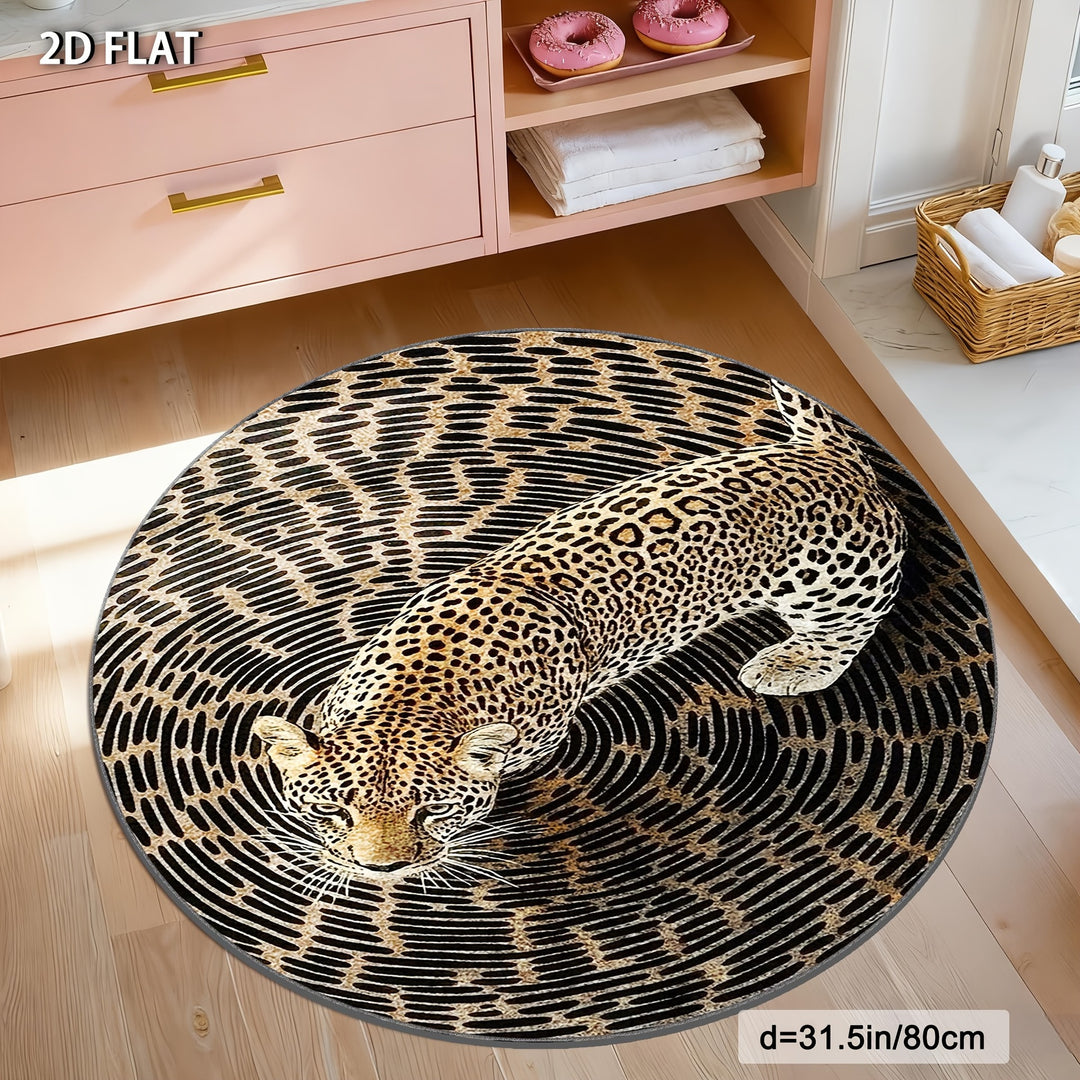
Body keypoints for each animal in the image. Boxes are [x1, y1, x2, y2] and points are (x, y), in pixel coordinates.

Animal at [254, 380, 907, 882]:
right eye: (335, 811)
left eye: (432, 812)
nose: (381, 871)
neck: (419, 690)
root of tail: (827, 454)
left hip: (837, 582)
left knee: (850, 628)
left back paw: (793, 663)